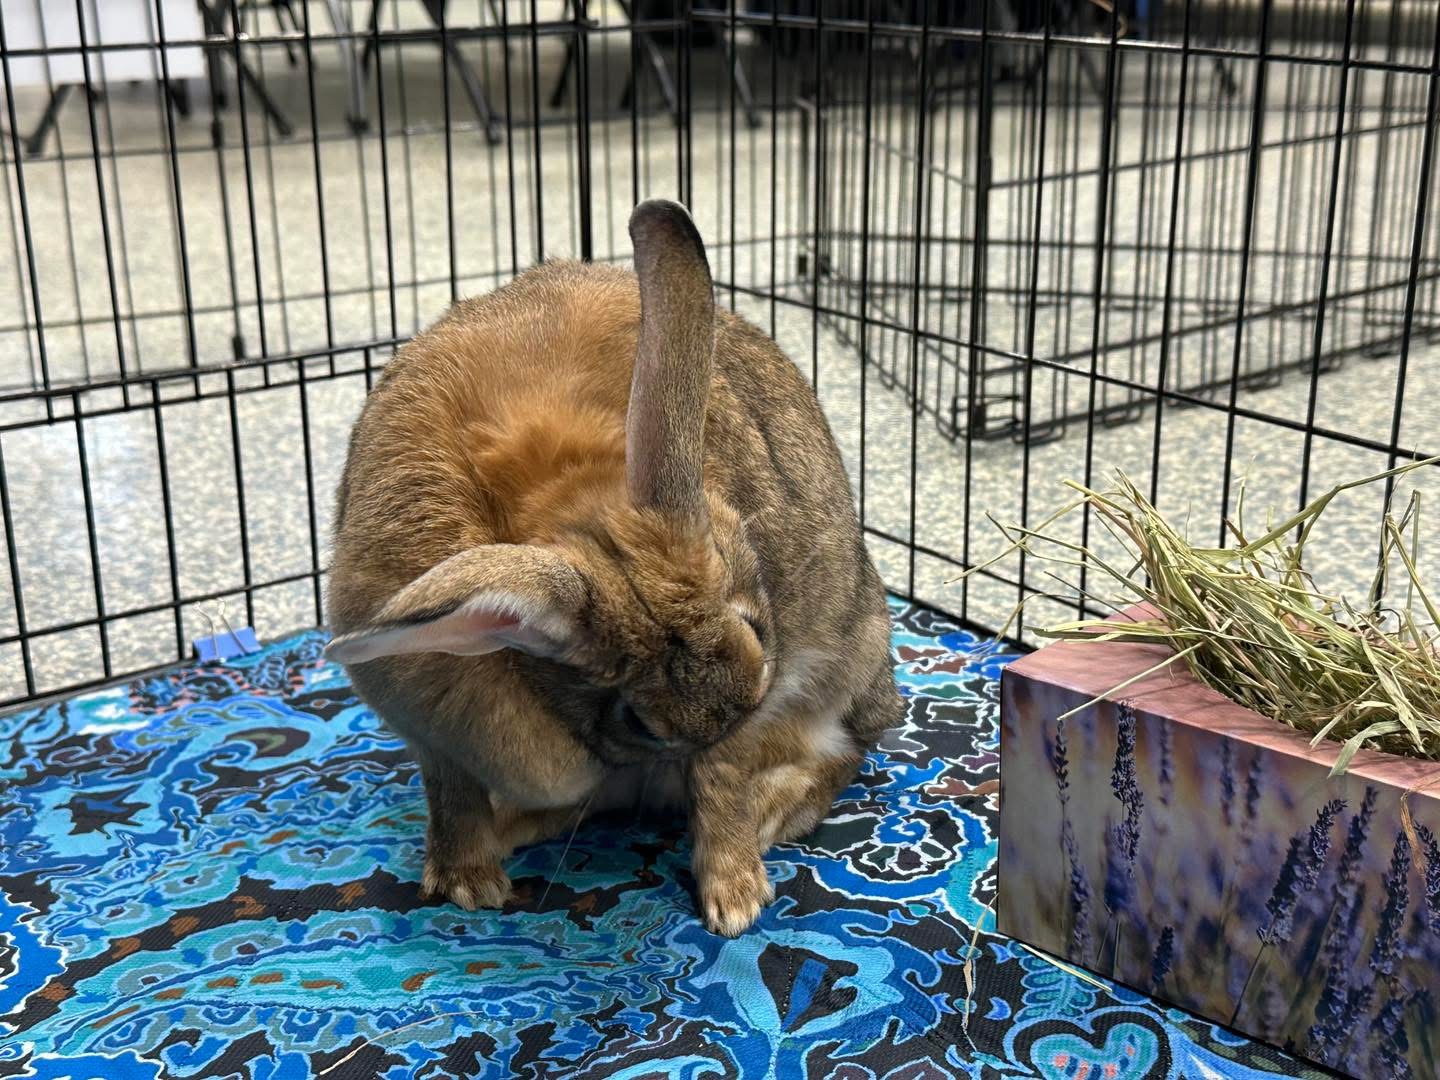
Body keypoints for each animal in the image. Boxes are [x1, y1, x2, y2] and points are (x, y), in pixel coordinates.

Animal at [324, 199, 901, 935]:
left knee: (847, 750)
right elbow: (449, 791)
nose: (728, 714)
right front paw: (466, 883)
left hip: (849, 666)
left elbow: (723, 778)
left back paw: (776, 815)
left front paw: (735, 900)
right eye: (636, 721)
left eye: (756, 627)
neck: (558, 500)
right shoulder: (429, 728)